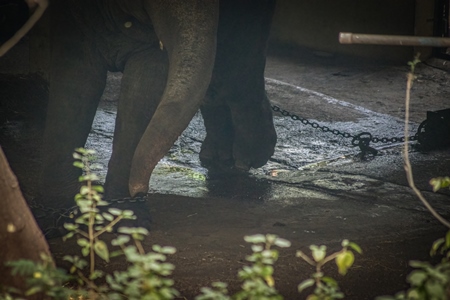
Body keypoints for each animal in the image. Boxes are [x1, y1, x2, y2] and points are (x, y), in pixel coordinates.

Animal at [32, 0, 278, 211]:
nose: (139, 188)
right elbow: (78, 73)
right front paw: (64, 205)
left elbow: (147, 76)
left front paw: (126, 210)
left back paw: (244, 158)